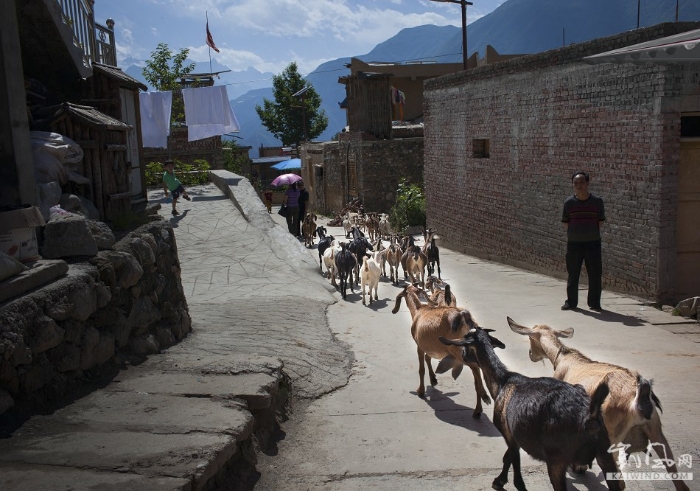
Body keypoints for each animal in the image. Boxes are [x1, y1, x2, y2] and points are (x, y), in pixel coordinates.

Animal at [392, 284, 494, 418]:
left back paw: (484, 396)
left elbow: (421, 369)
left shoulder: (419, 346)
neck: (418, 311)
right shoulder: (430, 347)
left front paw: (420, 391)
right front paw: (433, 379)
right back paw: (477, 410)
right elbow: (428, 358)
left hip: (458, 349)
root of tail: (463, 315)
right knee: (477, 375)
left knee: (475, 368)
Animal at [440, 328, 620, 491]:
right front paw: (499, 480)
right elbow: (507, 458)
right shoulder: (514, 436)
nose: (462, 354)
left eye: (466, 343)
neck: (502, 382)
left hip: (557, 459)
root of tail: (588, 415)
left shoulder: (509, 434)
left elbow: (513, 464)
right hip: (605, 453)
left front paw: (504, 482)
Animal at [508, 318, 688, 490]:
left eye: (530, 338)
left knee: (619, 482)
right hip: (655, 429)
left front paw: (578, 467)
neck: (564, 358)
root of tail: (637, 397)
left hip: (610, 437)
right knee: (679, 481)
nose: (530, 354)